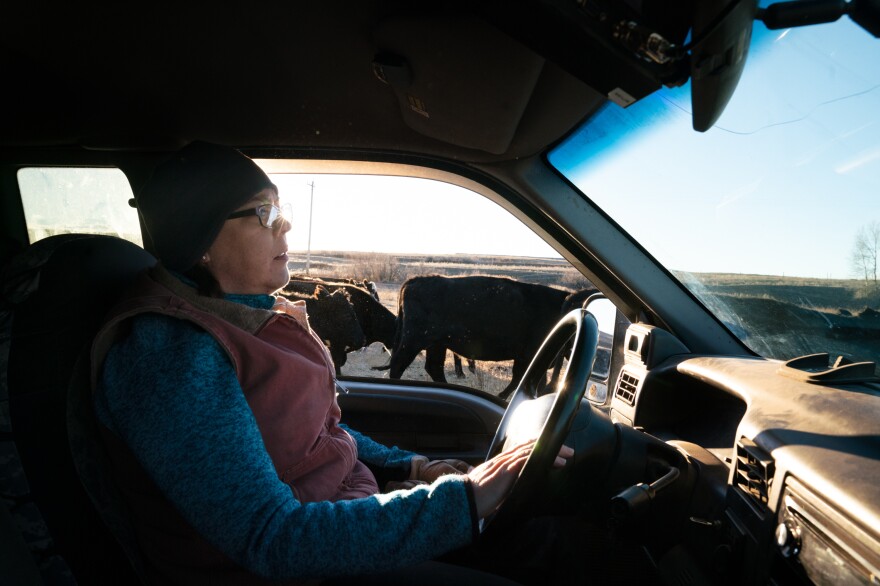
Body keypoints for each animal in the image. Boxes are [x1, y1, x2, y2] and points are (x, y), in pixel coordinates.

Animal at [388, 274, 596, 396]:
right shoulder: (533, 356)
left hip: (437, 344)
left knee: (434, 367)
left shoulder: (524, 357)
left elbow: (518, 379)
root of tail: (414, 280)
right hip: (414, 341)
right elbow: (528, 380)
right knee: (399, 363)